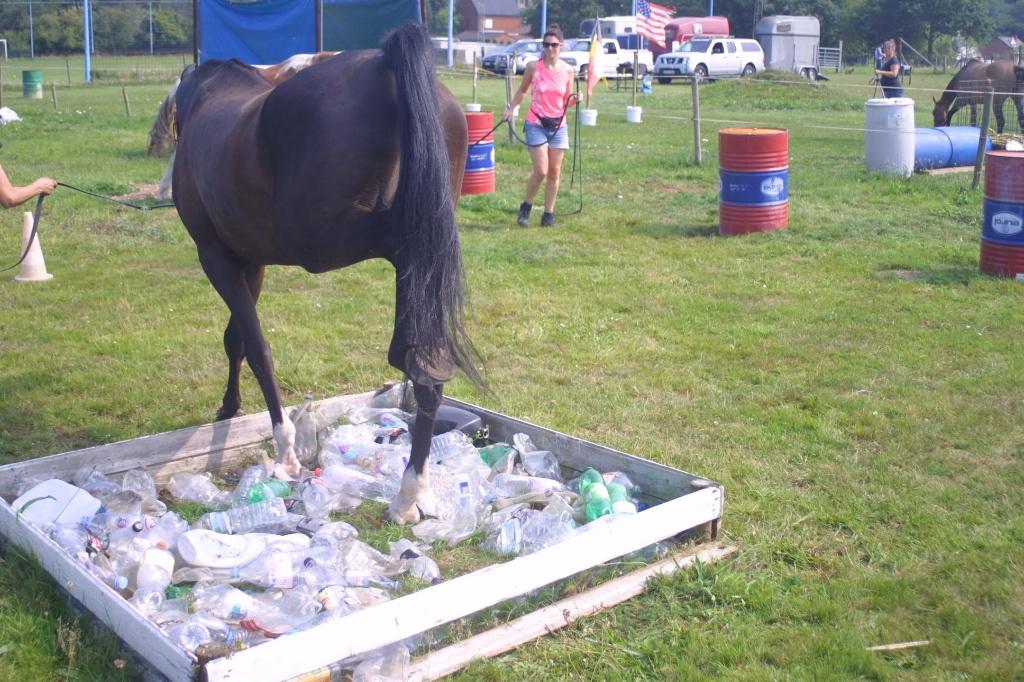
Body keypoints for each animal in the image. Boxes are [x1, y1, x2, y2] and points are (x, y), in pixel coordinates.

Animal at [172, 22, 478, 525]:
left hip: (323, 241)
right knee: (425, 363)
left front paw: (284, 448)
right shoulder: (249, 263)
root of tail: (383, 64)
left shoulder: (216, 258)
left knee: (406, 259)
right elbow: (237, 340)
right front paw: (229, 409)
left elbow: (256, 348)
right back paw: (409, 494)